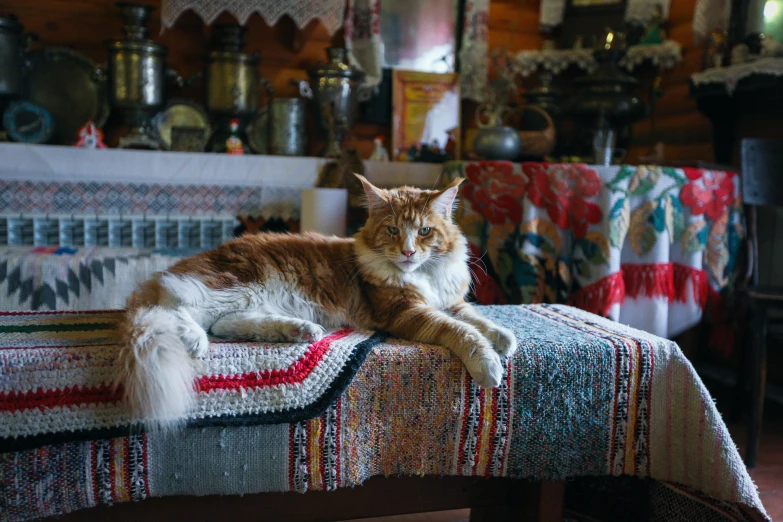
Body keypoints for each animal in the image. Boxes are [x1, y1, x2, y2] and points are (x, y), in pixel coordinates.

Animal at [118, 175, 516, 426]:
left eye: (424, 231)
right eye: (392, 230)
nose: (407, 252)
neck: (423, 276)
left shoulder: (451, 300)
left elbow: (478, 319)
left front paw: (505, 338)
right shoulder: (408, 312)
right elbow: (462, 332)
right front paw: (489, 365)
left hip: (246, 299)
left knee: (225, 323)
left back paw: (300, 330)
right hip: (232, 285)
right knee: (175, 304)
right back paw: (194, 339)